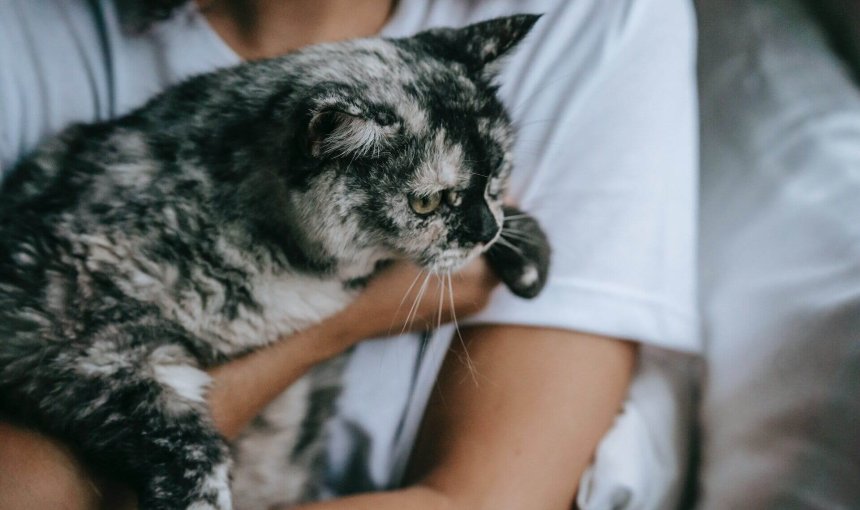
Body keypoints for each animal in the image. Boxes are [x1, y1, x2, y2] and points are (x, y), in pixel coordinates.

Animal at [0, 13, 552, 508]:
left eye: (497, 174)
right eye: (427, 203)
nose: (484, 232)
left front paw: (530, 254)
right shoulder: (64, 325)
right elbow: (171, 426)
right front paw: (199, 496)